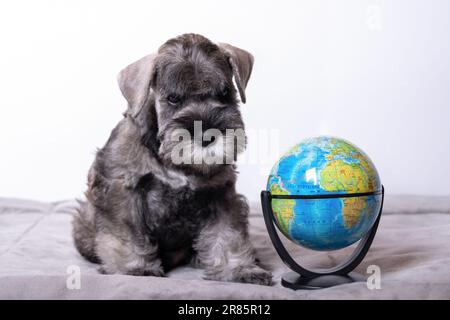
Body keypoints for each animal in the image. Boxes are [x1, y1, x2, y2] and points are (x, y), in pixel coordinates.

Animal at [72, 33, 272, 286]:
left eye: (225, 92)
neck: (176, 162)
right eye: (174, 98)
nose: (207, 136)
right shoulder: (122, 190)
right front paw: (135, 269)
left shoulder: (220, 193)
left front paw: (238, 269)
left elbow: (227, 233)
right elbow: (126, 233)